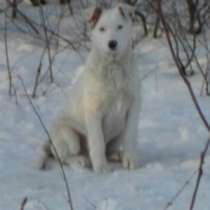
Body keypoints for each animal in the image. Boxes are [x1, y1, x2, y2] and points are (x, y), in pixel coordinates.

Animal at [37, 4, 141, 173]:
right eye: (102, 29)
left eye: (120, 27)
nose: (112, 43)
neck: (113, 66)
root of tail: (50, 140)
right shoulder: (94, 110)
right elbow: (97, 141)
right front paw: (101, 168)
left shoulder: (133, 106)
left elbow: (131, 136)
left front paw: (130, 160)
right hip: (68, 136)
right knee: (63, 156)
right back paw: (80, 161)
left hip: (118, 132)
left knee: (109, 148)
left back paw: (116, 155)